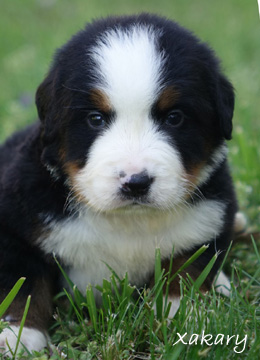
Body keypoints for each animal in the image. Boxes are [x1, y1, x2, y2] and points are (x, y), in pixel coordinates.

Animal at [0, 13, 238, 352]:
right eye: (95, 119)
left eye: (175, 117)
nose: (136, 182)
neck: (129, 223)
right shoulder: (17, 222)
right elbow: (24, 280)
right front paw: (18, 334)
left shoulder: (210, 216)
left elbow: (188, 265)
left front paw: (185, 316)